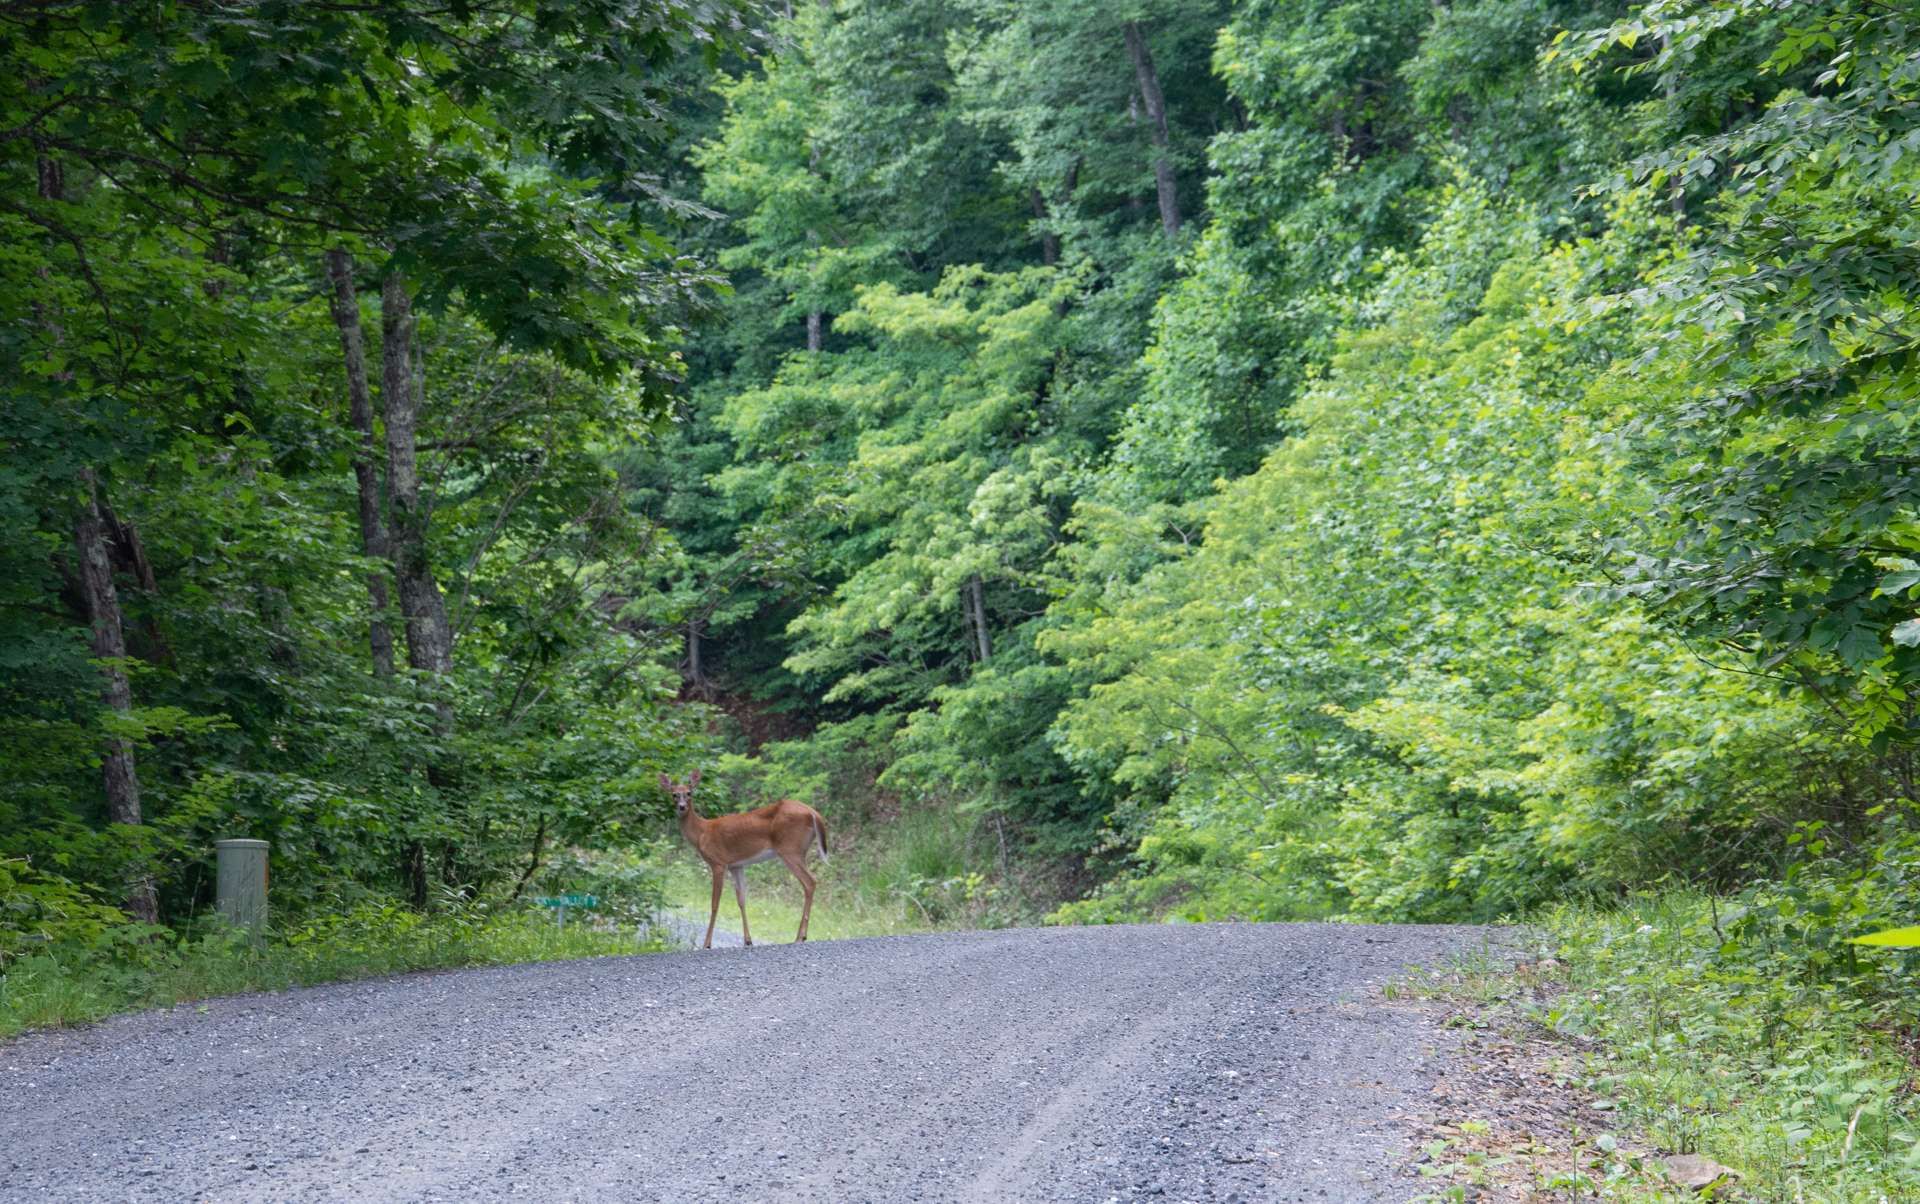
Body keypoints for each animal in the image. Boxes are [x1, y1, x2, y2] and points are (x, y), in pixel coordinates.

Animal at [664, 771, 829, 952]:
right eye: (674, 794)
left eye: (689, 793)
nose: (681, 806)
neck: (702, 832)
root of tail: (814, 813)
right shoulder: (736, 865)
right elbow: (742, 900)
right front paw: (748, 940)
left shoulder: (718, 862)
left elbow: (714, 903)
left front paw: (706, 944)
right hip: (797, 851)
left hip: (790, 849)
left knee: (810, 881)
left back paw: (800, 936)